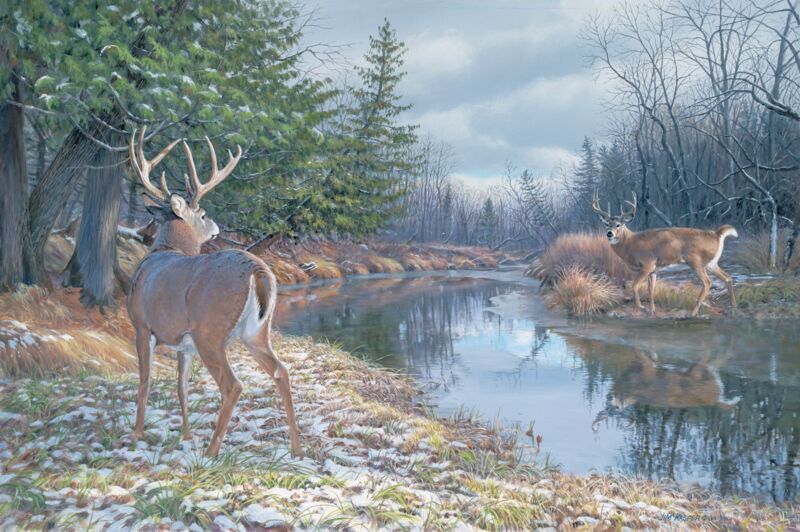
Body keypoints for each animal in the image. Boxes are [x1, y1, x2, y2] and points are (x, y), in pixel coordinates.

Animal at [126, 127, 301, 458]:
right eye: (205, 214)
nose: (218, 227)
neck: (166, 250)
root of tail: (256, 269)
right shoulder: (183, 343)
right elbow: (180, 387)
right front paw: (185, 435)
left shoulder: (142, 326)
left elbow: (144, 382)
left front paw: (137, 435)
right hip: (255, 332)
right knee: (281, 371)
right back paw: (296, 448)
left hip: (210, 331)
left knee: (233, 385)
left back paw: (211, 452)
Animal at [591, 191, 738, 316]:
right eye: (606, 224)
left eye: (618, 224)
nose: (609, 234)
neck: (631, 244)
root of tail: (717, 234)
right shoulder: (653, 270)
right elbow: (651, 290)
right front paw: (652, 310)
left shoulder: (647, 264)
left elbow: (635, 285)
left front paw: (640, 307)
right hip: (711, 263)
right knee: (727, 278)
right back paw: (733, 307)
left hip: (696, 262)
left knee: (707, 283)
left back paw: (693, 312)